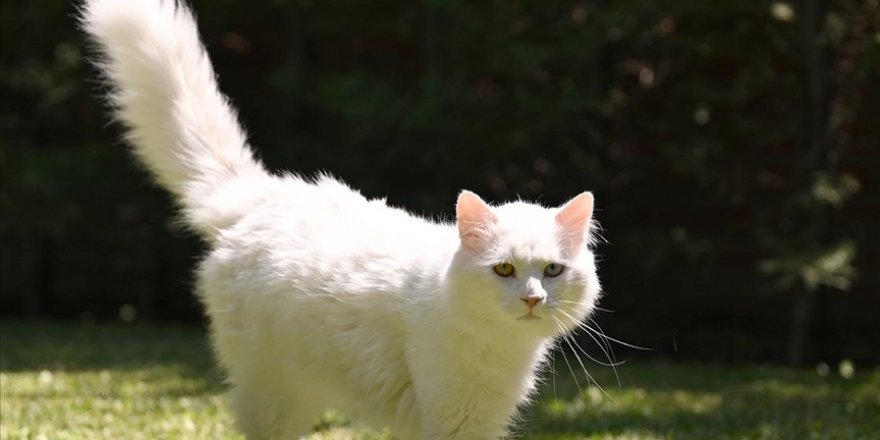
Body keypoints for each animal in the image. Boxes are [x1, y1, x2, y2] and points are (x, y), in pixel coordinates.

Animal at [81, 1, 600, 438]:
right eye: (504, 270)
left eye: (553, 271)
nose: (532, 299)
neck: (500, 346)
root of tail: (265, 194)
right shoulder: (450, 418)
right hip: (274, 397)